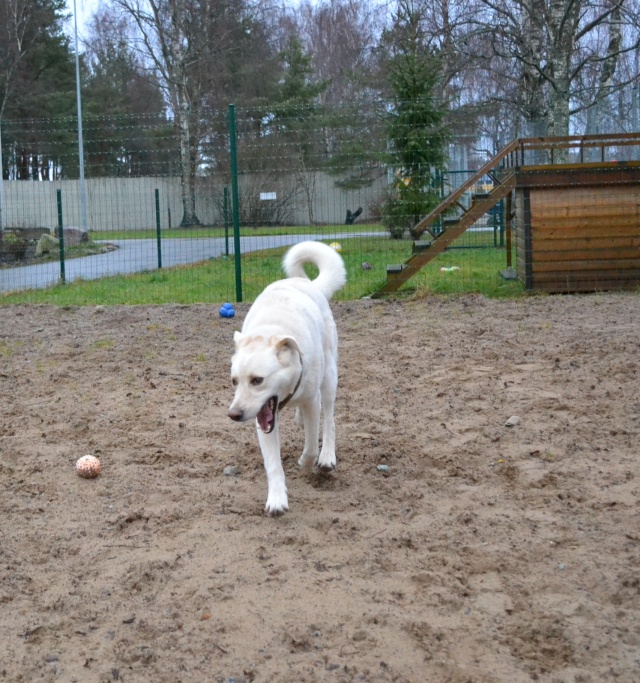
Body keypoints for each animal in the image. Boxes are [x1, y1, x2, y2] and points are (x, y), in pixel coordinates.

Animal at [228, 241, 346, 515]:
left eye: (257, 380)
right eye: (234, 381)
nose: (234, 414)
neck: (270, 330)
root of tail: (307, 283)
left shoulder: (312, 401)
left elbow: (312, 445)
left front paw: (307, 462)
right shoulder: (264, 418)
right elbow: (273, 463)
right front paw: (277, 499)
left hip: (329, 377)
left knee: (330, 419)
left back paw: (327, 456)